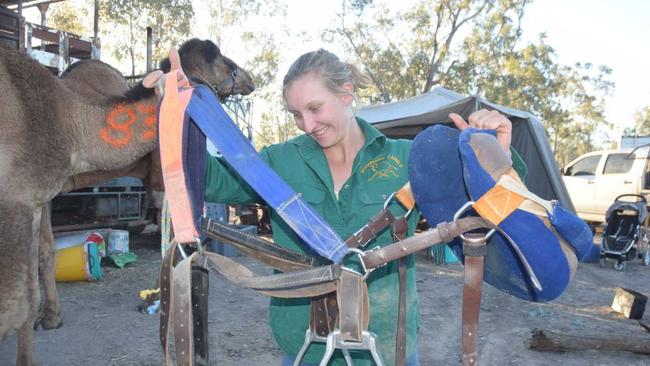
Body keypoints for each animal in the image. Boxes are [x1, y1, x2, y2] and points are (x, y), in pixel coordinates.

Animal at [0, 38, 253, 364]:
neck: (69, 121)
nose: (248, 79)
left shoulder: (27, 197)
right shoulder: (23, 197)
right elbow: (29, 283)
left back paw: (157, 297)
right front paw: (50, 317)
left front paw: (50, 317)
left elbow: (25, 294)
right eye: (221, 60)